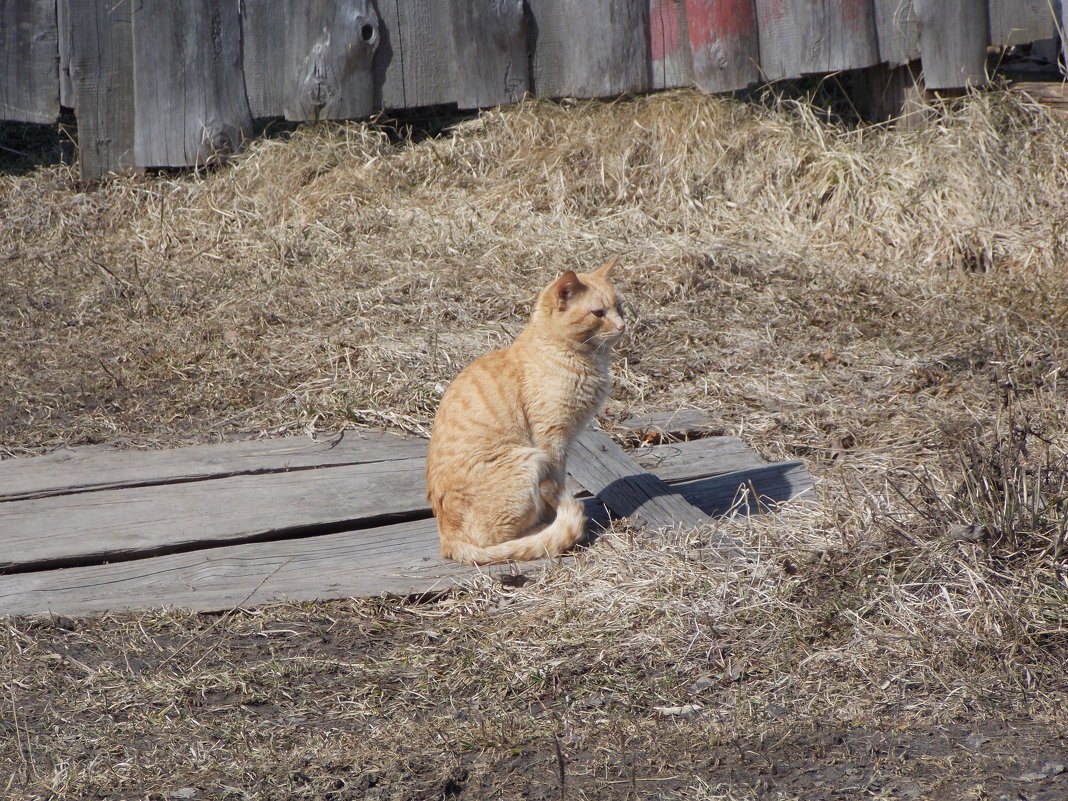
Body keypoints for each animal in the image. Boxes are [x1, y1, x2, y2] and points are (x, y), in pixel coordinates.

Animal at [425, 257, 623, 563]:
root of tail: (447, 542)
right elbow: (557, 480)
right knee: (501, 539)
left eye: (619, 307)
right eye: (598, 313)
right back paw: (546, 529)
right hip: (529, 459)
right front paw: (555, 515)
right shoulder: (551, 438)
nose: (623, 325)